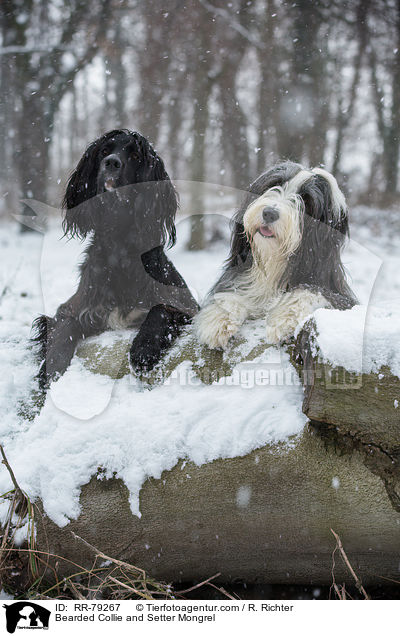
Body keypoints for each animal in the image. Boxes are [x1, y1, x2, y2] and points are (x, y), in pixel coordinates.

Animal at [32, 129, 198, 388]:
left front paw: (142, 350)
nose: (111, 162)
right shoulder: (74, 309)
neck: (119, 249)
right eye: (104, 150)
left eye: (136, 155)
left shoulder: (186, 305)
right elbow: (63, 328)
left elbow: (160, 309)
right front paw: (49, 372)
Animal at [194, 159, 356, 348]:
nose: (269, 213)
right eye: (274, 184)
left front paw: (283, 319)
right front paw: (218, 319)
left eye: (306, 200)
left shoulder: (339, 296)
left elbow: (309, 291)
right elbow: (235, 290)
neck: (275, 260)